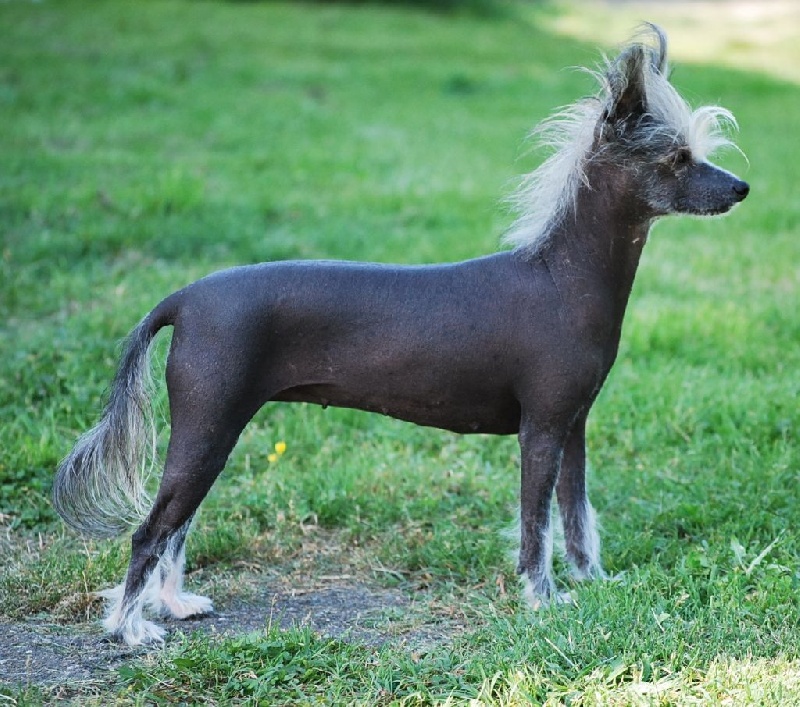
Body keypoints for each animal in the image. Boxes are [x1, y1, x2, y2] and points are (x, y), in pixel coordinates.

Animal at [53, 24, 749, 645]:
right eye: (677, 158)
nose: (741, 188)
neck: (561, 277)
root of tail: (186, 297)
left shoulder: (572, 428)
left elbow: (576, 518)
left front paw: (594, 583)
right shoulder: (541, 430)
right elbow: (536, 526)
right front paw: (543, 600)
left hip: (215, 430)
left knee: (178, 526)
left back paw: (173, 605)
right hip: (208, 425)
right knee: (152, 530)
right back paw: (130, 628)